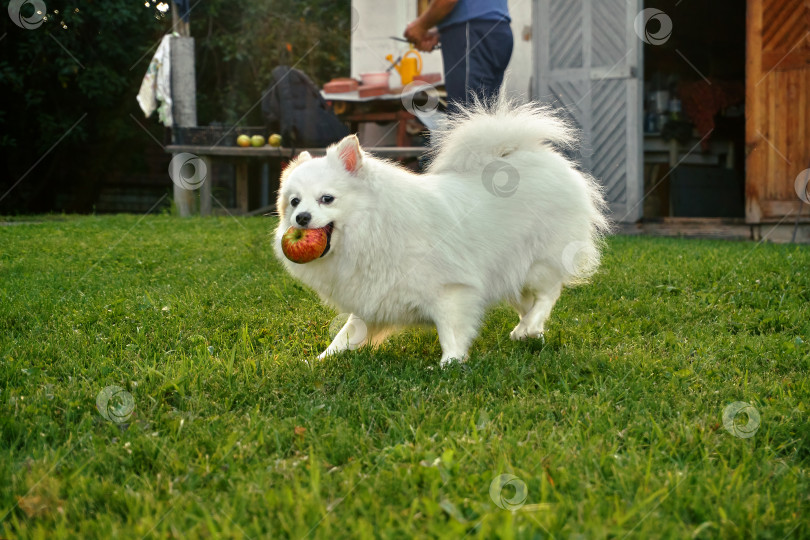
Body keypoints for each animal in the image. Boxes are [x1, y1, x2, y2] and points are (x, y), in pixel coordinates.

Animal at [274, 97, 608, 368]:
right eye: (294, 202)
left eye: (326, 199)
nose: (301, 218)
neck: (373, 225)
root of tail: (526, 152)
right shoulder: (373, 298)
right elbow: (346, 335)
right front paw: (320, 360)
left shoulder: (451, 291)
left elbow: (451, 331)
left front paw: (450, 364)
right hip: (511, 271)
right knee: (529, 303)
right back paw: (530, 332)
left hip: (536, 262)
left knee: (549, 293)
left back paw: (528, 327)